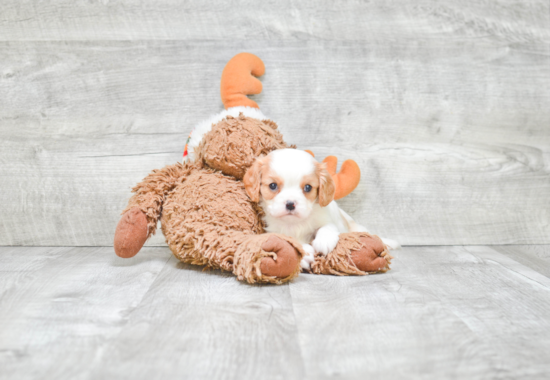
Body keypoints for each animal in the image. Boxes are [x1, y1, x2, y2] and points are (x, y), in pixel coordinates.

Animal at [244, 148, 398, 270]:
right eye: (273, 186)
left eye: (308, 187)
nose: (290, 204)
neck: (295, 223)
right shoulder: (274, 231)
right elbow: (287, 239)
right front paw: (304, 253)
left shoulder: (329, 220)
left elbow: (327, 227)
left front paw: (324, 240)